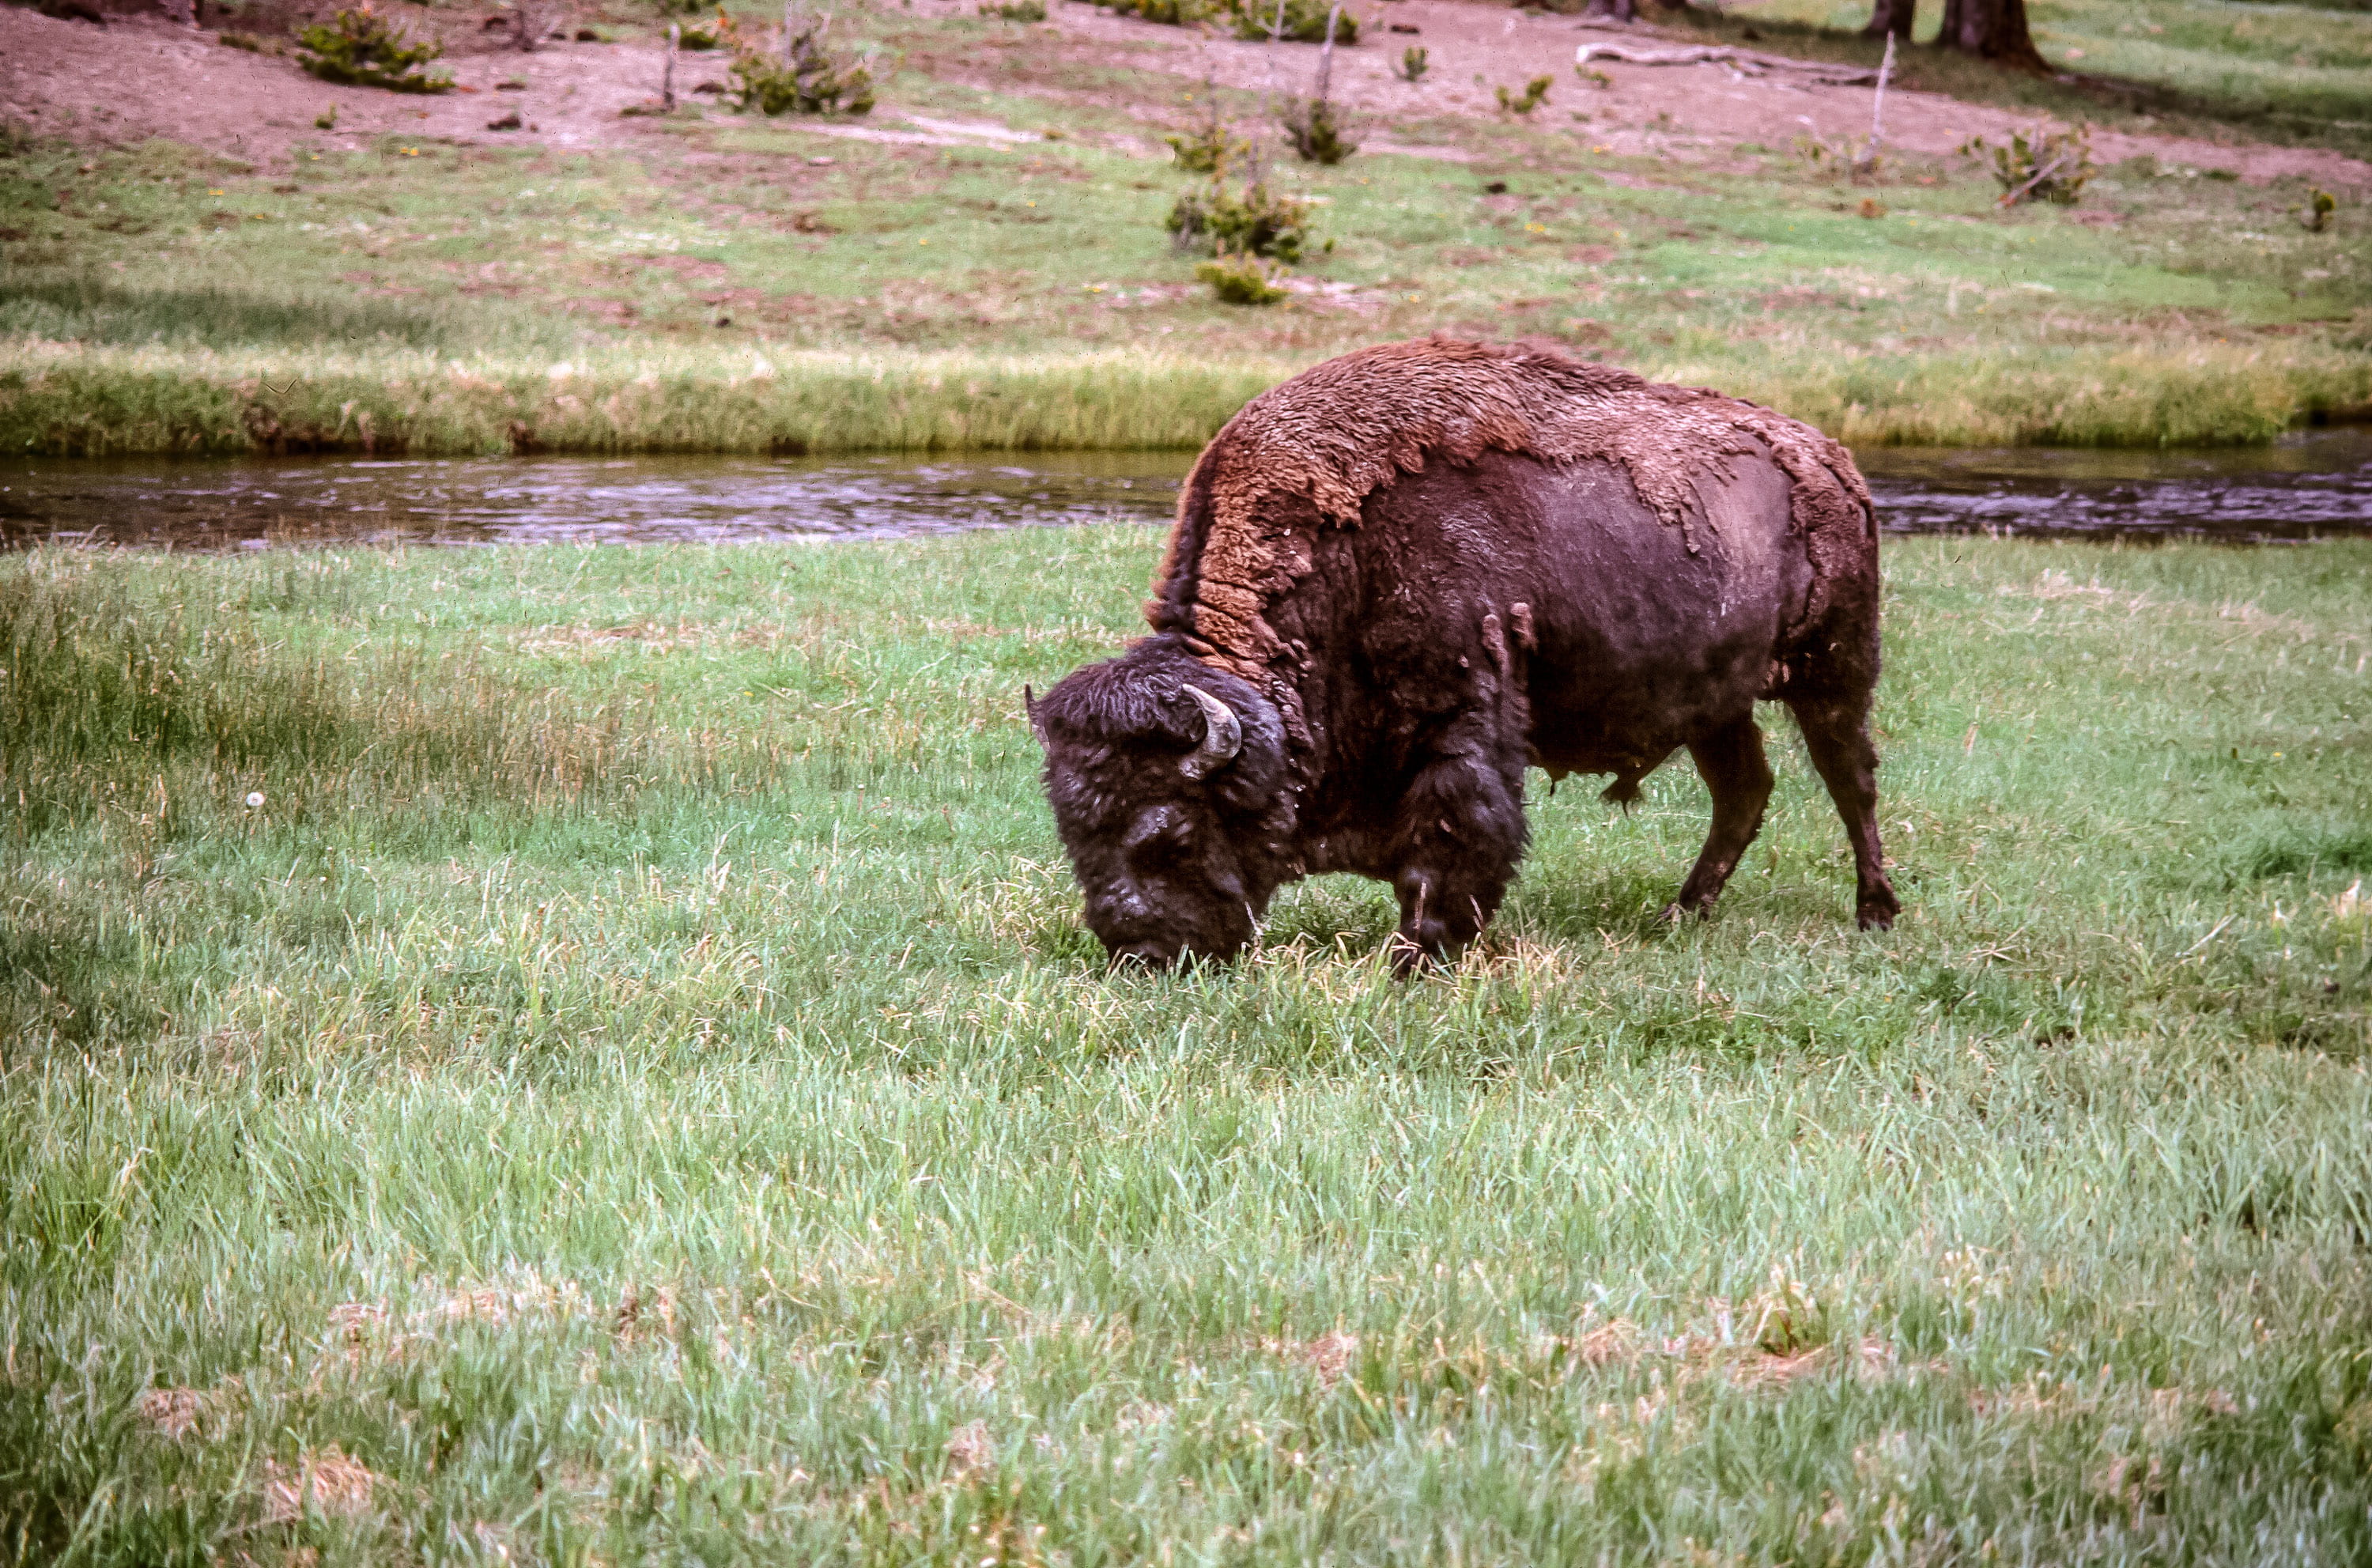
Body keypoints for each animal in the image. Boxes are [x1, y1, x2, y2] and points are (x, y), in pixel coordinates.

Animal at [1029, 338, 1900, 970]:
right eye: (1074, 834)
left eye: (1169, 835)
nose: (1140, 954)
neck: (1344, 557)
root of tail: (1834, 461)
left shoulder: (1463, 708)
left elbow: (1458, 827)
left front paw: (1420, 953)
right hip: (1715, 704)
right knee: (1743, 790)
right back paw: (1681, 913)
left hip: (1834, 670)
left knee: (1850, 781)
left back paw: (1875, 912)